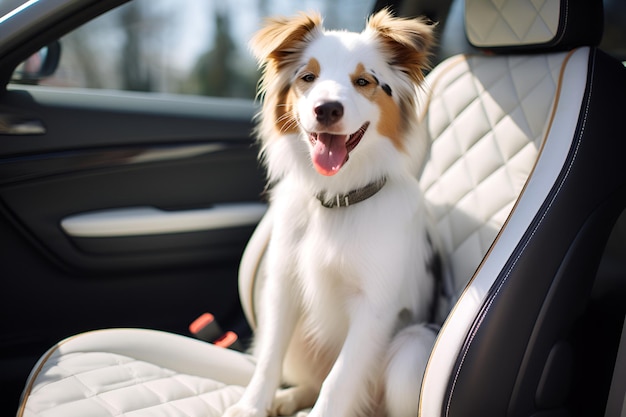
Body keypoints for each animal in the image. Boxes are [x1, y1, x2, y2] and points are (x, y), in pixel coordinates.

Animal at [224, 8, 438, 416]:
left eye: (364, 81)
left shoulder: (374, 307)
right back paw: (288, 398)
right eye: (308, 77)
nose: (327, 109)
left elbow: (338, 379)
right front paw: (251, 406)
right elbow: (269, 357)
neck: (337, 200)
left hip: (411, 351)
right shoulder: (283, 285)